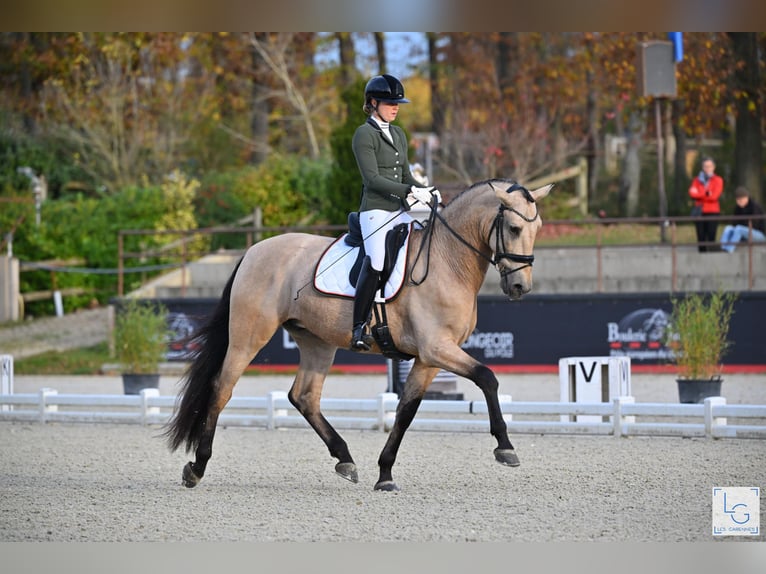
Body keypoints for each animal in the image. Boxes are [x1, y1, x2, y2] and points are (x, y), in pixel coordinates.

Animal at [164, 178, 552, 492]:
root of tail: (254, 250)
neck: (447, 261)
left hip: (317, 342)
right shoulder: (437, 349)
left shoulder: (429, 357)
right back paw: (197, 467)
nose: (520, 287)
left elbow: (406, 411)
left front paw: (385, 475)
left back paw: (345, 459)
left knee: (304, 396)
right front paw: (505, 447)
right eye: (513, 228)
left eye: (538, 228)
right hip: (249, 336)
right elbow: (487, 377)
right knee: (222, 388)